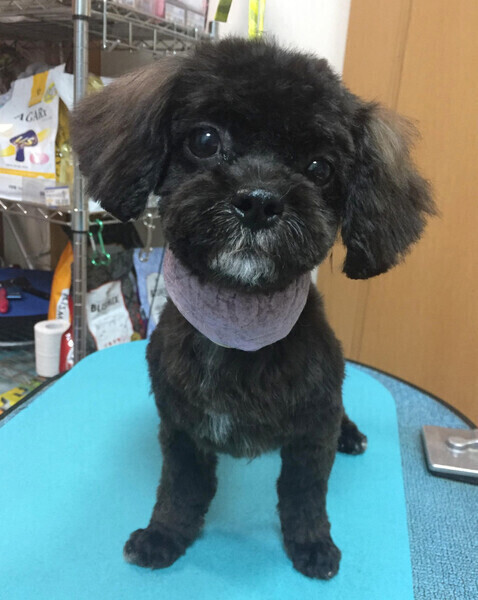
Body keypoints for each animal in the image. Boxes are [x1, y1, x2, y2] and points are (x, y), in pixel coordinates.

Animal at [71, 37, 434, 580]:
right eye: (204, 140)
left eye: (320, 168)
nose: (260, 202)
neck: (238, 325)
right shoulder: (181, 428)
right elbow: (179, 490)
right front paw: (163, 537)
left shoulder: (312, 431)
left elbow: (304, 495)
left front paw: (312, 545)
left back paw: (350, 435)